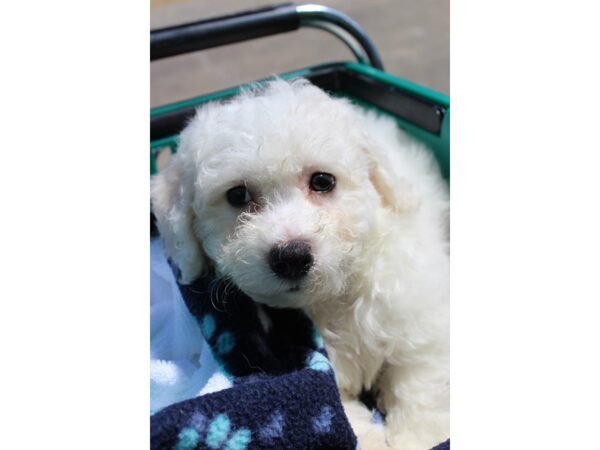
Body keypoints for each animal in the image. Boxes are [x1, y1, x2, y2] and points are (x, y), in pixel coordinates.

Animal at [152, 79, 448, 448]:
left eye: (323, 181)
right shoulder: (317, 366)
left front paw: (415, 437)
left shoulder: (418, 317)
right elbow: (340, 408)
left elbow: (419, 381)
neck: (331, 297)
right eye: (237, 195)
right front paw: (370, 437)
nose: (291, 256)